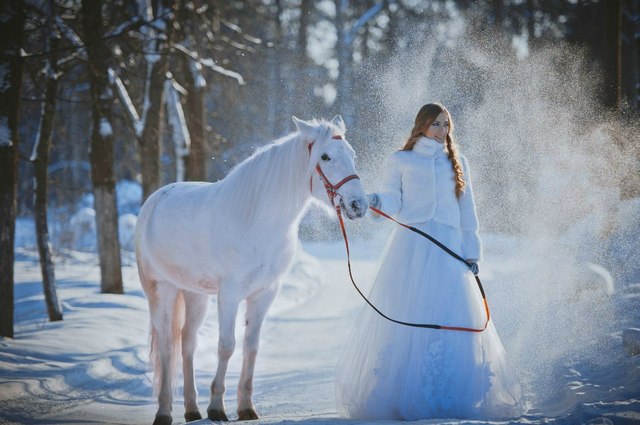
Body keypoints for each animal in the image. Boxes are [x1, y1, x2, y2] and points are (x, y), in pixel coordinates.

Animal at [136, 116, 364, 424]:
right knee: (166, 347)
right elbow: (226, 346)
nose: (358, 205)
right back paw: (165, 412)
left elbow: (251, 347)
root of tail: (154, 200)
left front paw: (245, 407)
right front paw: (217, 407)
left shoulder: (265, 293)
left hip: (195, 294)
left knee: (187, 344)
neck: (258, 220)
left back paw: (192, 410)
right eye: (325, 156)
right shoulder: (230, 295)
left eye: (352, 154)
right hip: (162, 290)